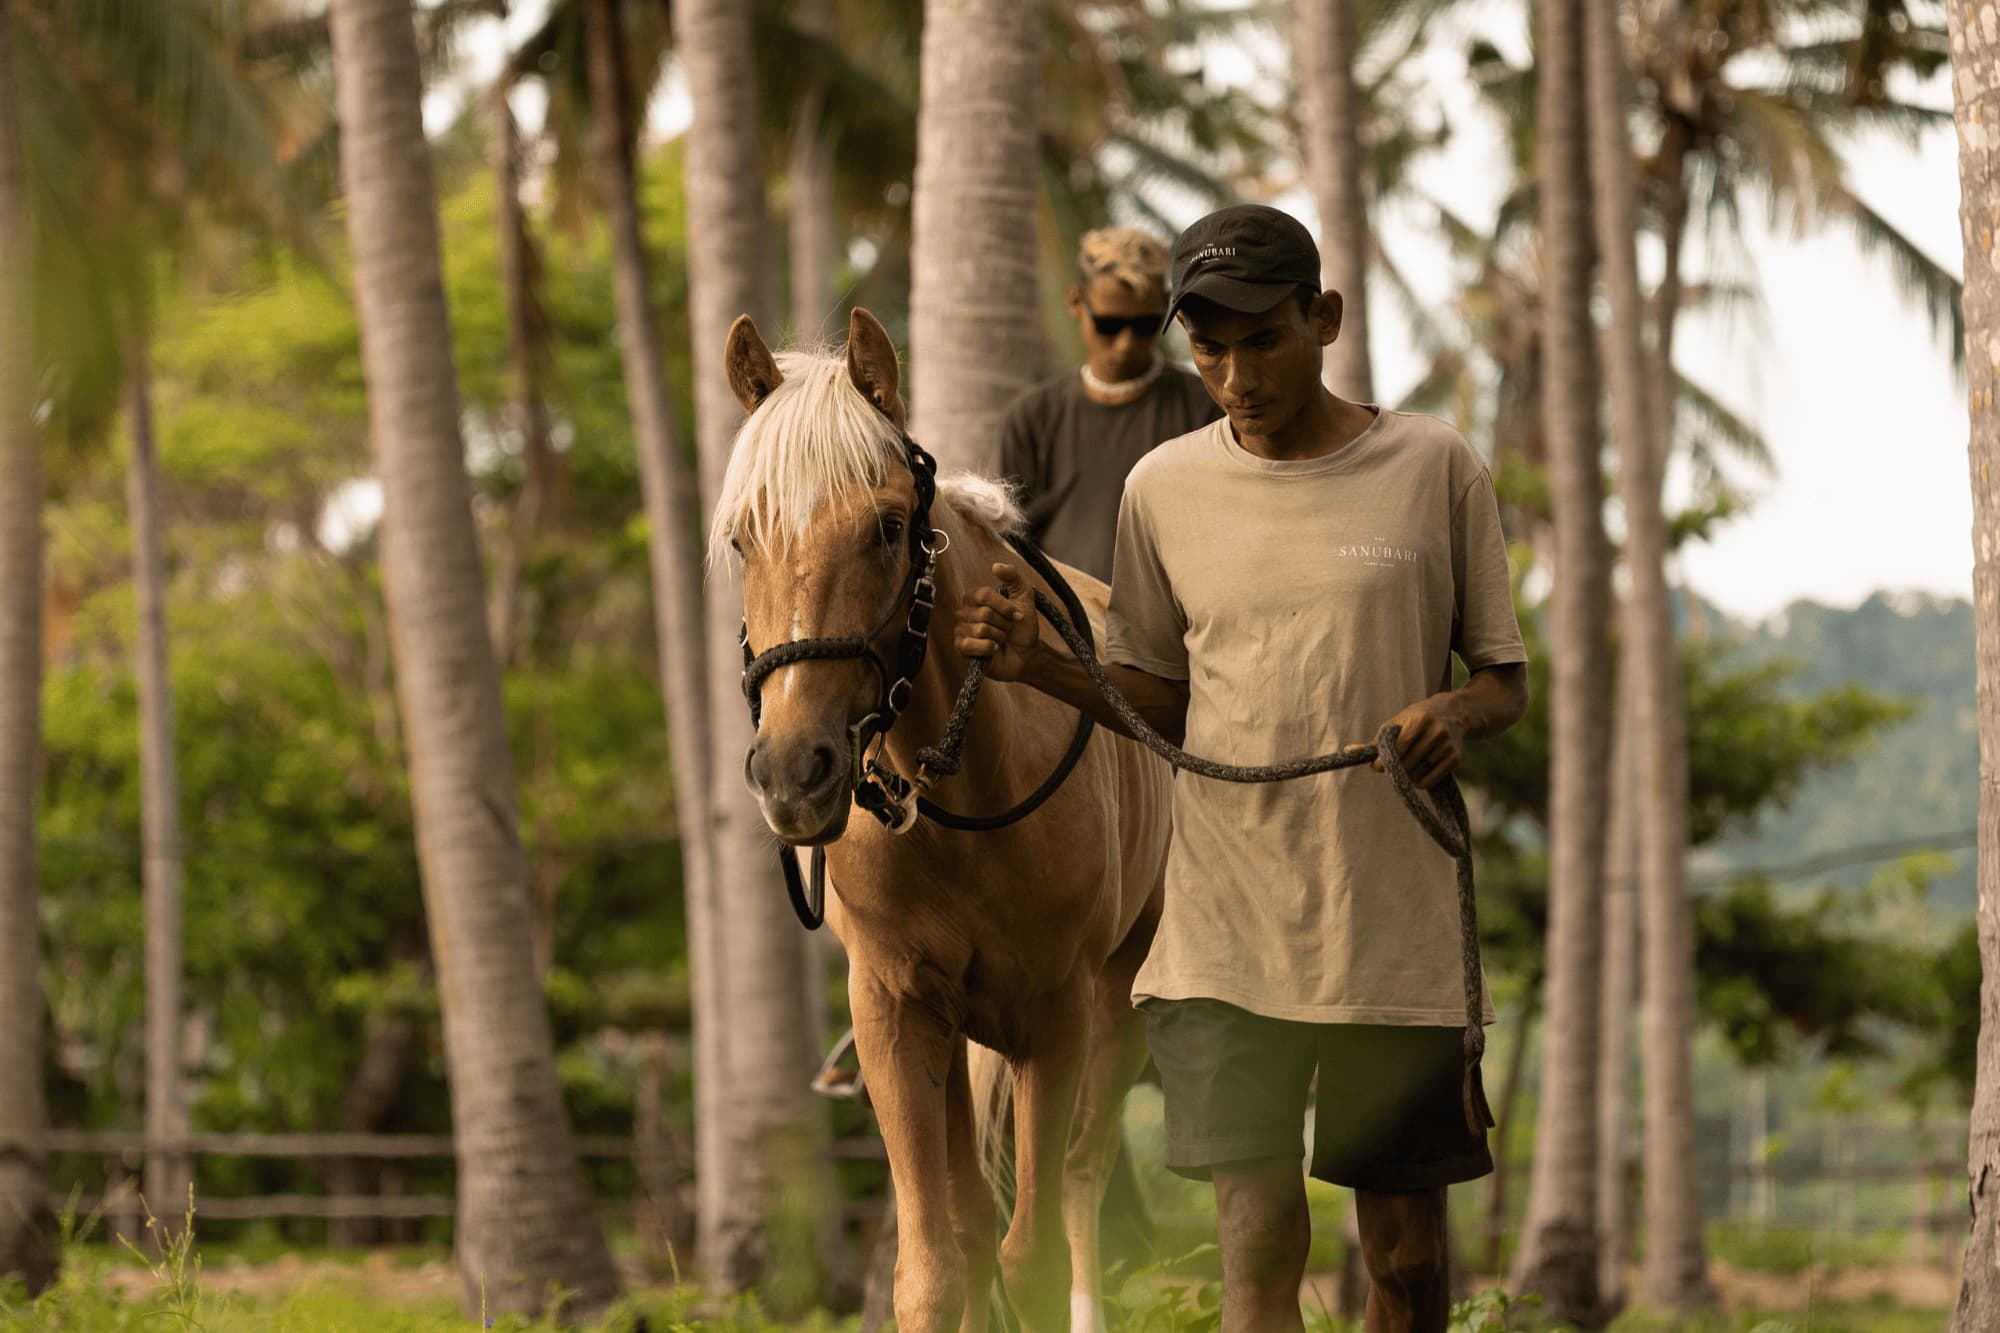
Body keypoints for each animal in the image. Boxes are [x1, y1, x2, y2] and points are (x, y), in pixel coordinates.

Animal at [710, 307, 1174, 1333]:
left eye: (888, 529)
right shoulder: (895, 1008)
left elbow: (1034, 1254)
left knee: (1082, 1186)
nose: (793, 771)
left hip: (1116, 1009)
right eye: (742, 540)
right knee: (970, 1223)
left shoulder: (1056, 1015)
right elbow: (934, 1264)